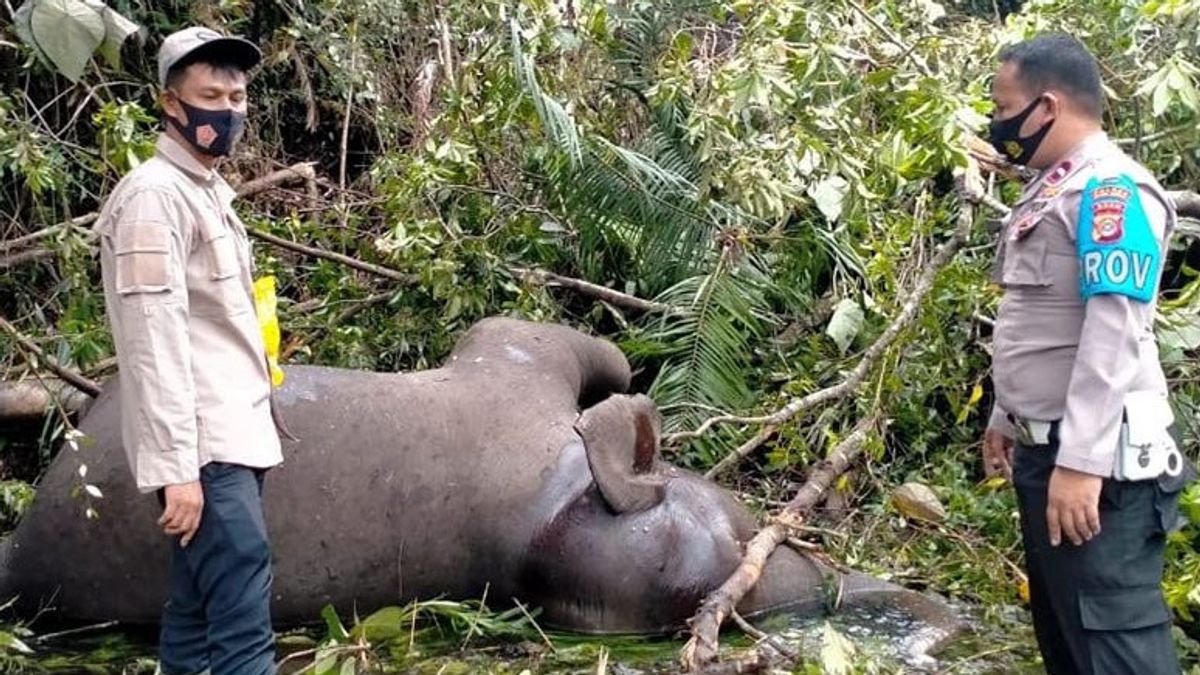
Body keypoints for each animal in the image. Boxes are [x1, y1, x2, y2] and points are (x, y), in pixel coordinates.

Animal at [0, 317, 955, 643]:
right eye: (752, 521)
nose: (932, 610)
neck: (549, 517)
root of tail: (17, 565)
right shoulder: (516, 345)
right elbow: (605, 353)